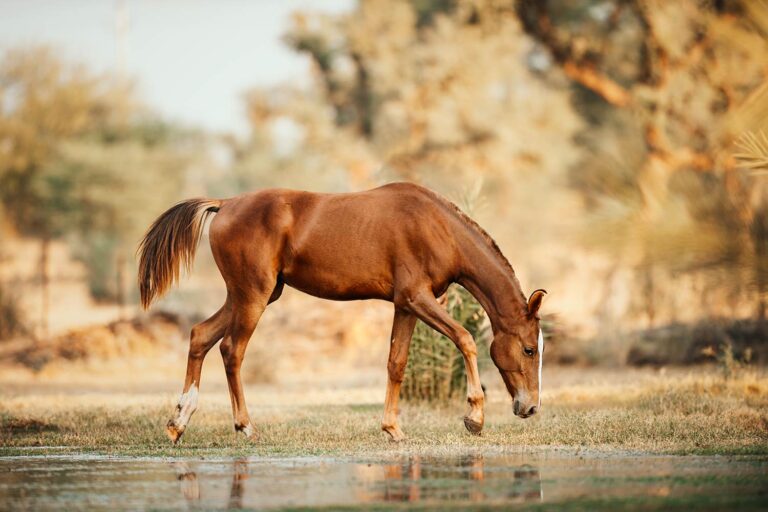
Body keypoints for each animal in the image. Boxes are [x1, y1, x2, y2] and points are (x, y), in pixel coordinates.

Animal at [137, 182, 546, 444]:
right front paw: (474, 417)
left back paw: (179, 422)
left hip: (251, 296)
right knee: (231, 351)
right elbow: (465, 339)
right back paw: (245, 427)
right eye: (529, 349)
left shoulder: (406, 305)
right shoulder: (418, 299)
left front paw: (392, 429)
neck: (437, 226)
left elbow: (396, 363)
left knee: (201, 336)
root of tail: (225, 204)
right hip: (252, 296)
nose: (529, 408)